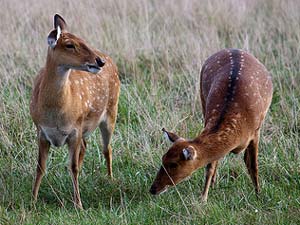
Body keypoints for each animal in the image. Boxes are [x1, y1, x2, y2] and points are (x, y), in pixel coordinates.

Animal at [29, 13, 120, 207]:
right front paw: (33, 200)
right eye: (70, 44)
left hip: (111, 111)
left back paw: (110, 178)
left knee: (107, 148)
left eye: (83, 40)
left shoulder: (75, 129)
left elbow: (73, 167)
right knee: (86, 147)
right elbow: (40, 167)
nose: (99, 61)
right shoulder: (41, 130)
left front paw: (78, 204)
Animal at [149, 48, 272, 201]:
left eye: (173, 164)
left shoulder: (256, 131)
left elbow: (253, 165)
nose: (152, 189)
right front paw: (204, 197)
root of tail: (233, 49)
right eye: (162, 158)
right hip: (202, 97)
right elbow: (210, 165)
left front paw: (258, 194)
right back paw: (213, 184)